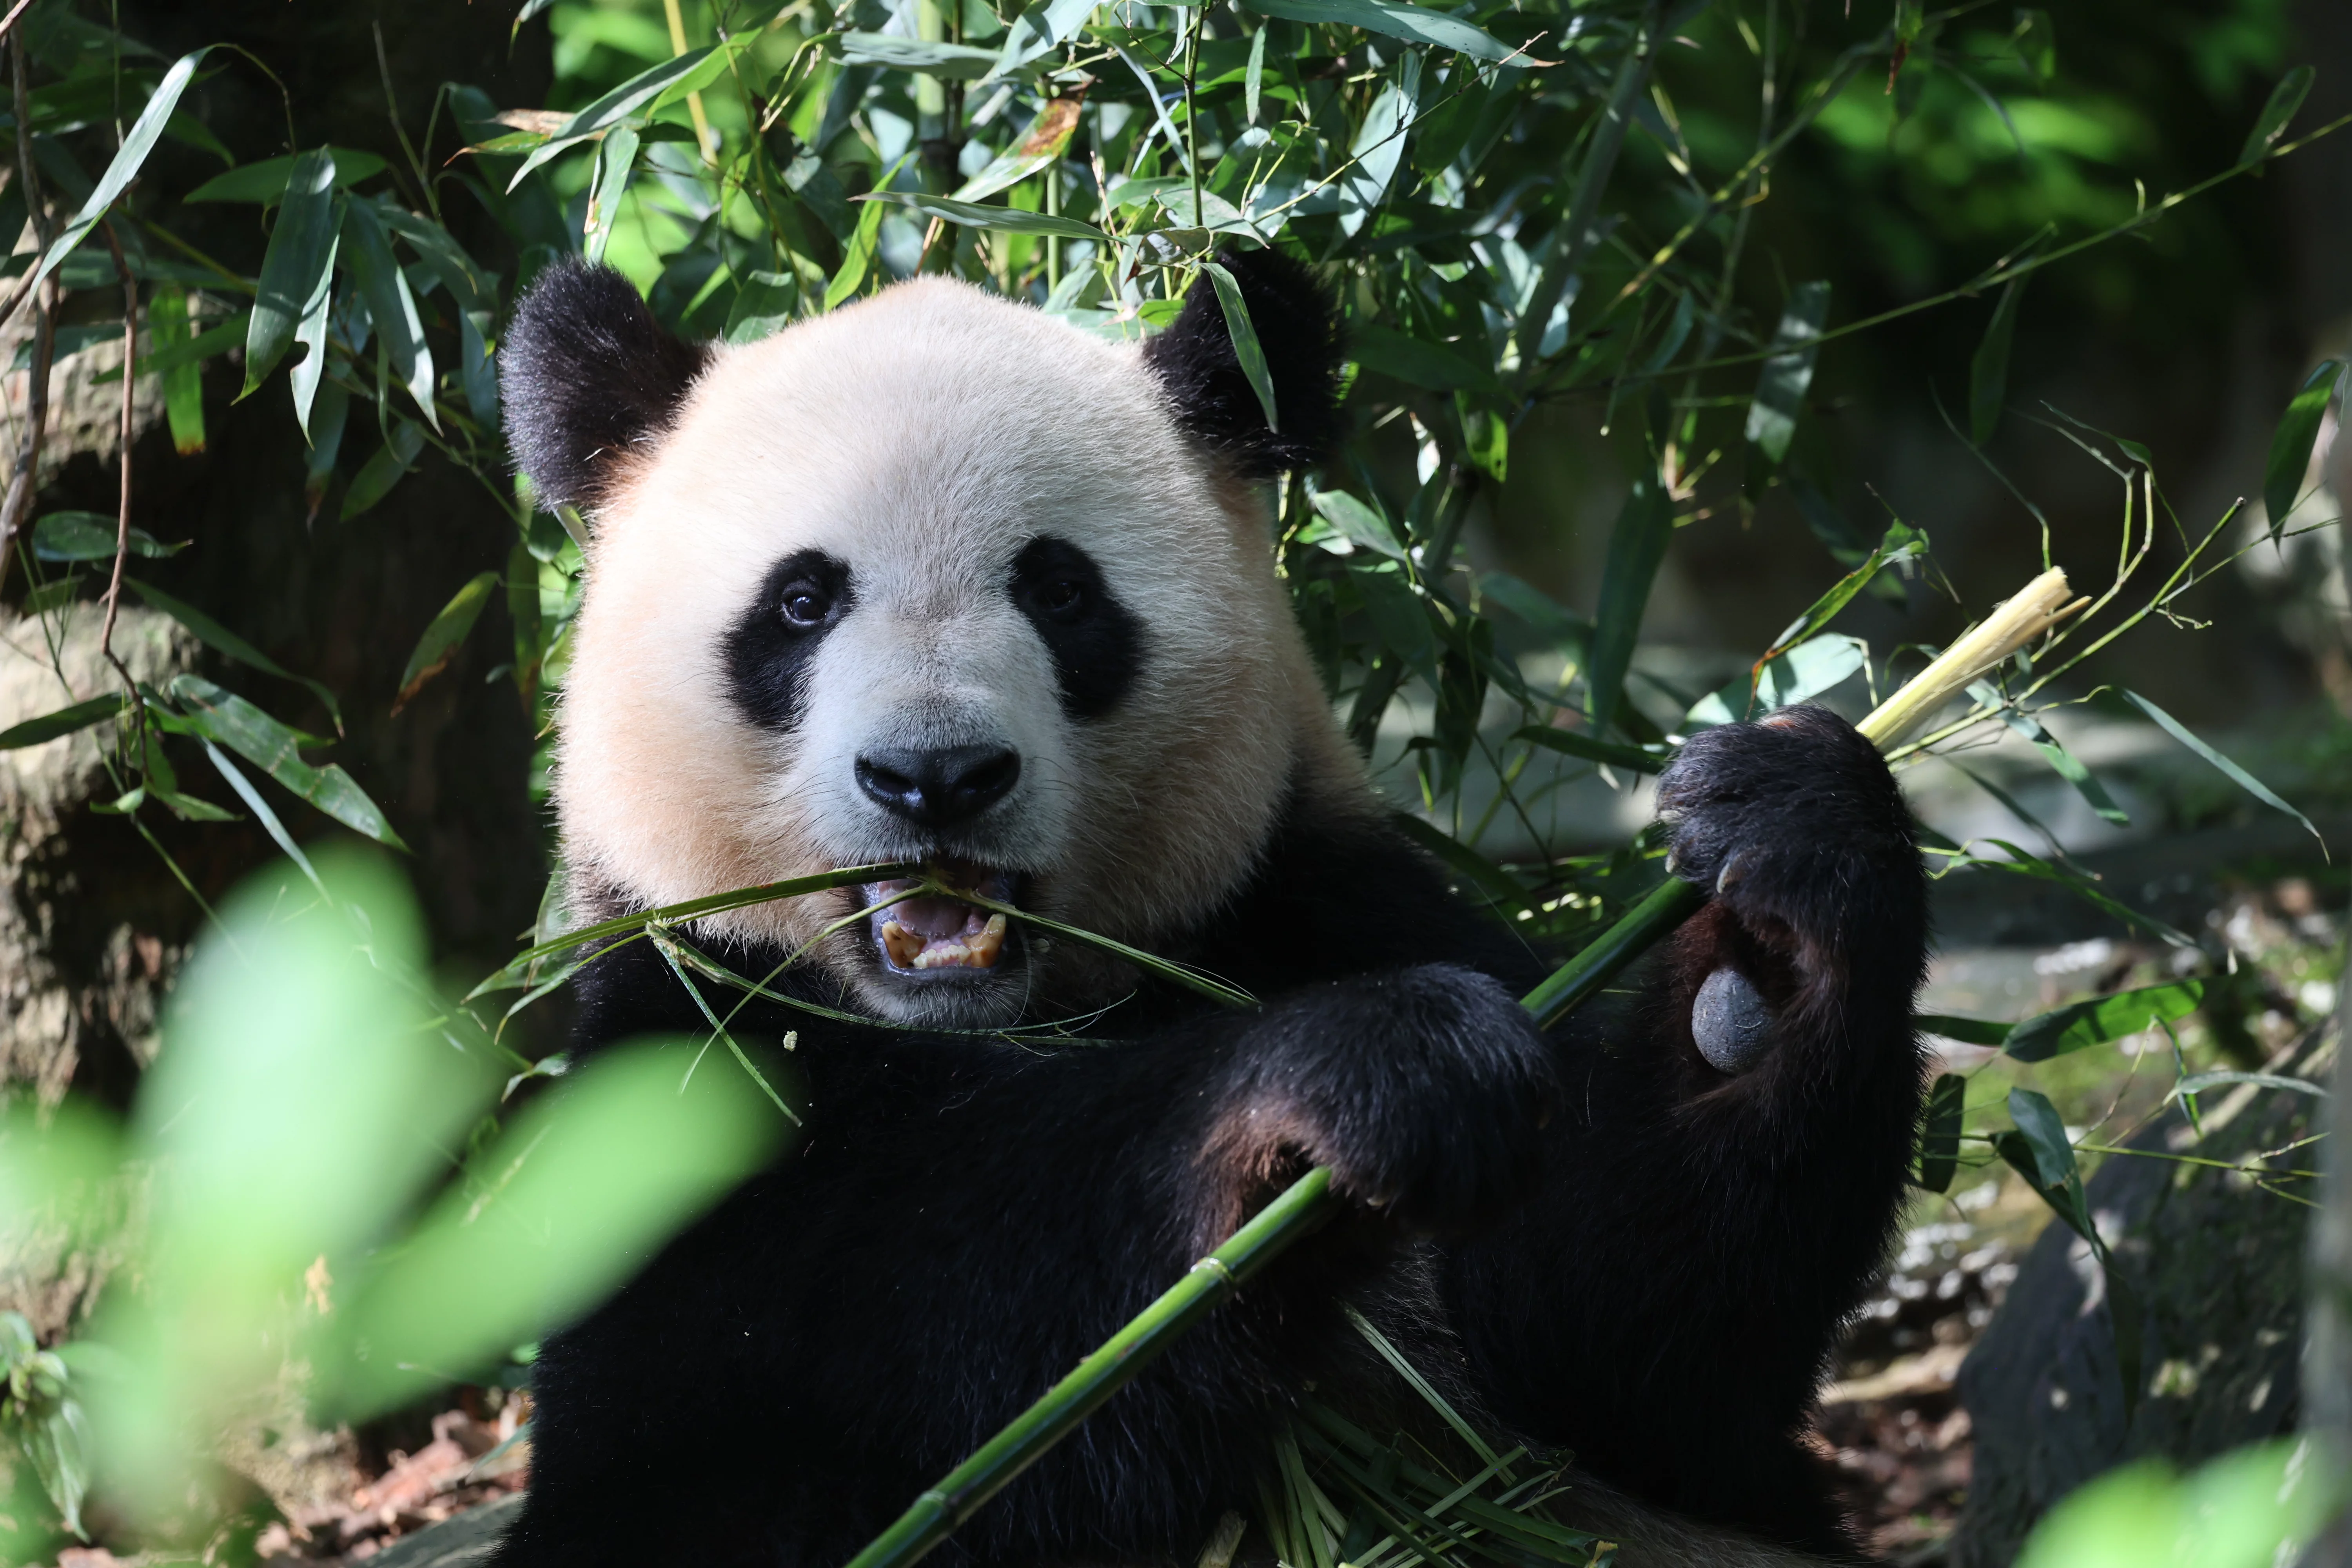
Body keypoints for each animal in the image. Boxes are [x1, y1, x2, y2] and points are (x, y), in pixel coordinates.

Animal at [487, 249, 1930, 1568]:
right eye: (801, 601)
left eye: (1059, 590)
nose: (936, 777)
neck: (999, 1012)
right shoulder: (687, 1079)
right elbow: (916, 1378)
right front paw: (1351, 1075)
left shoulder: (1305, 889)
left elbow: (1624, 1349)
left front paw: (1777, 900)